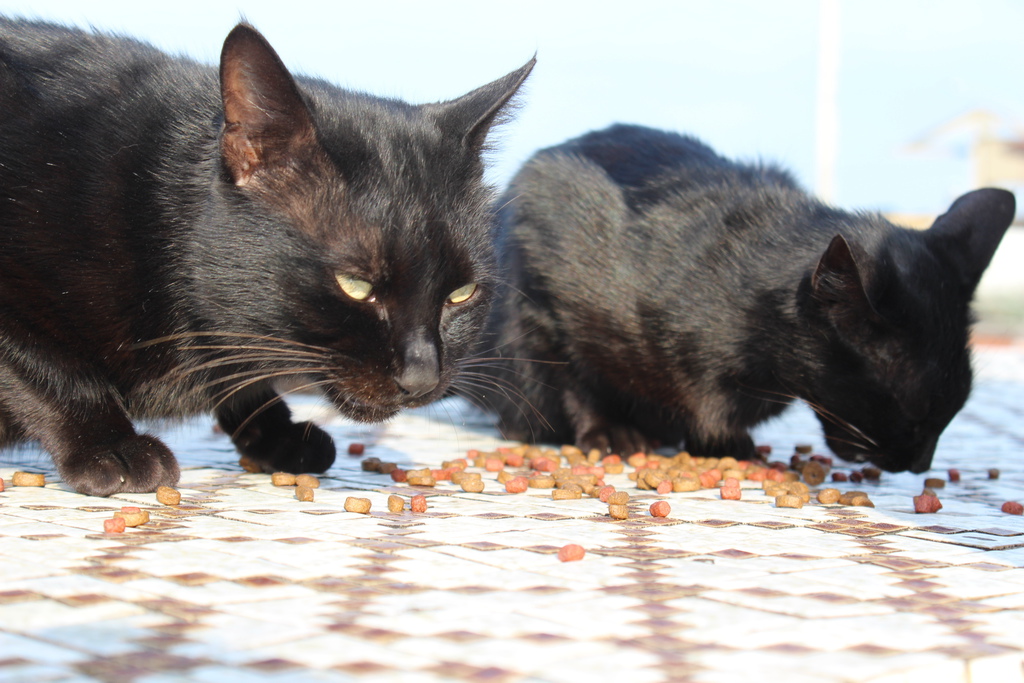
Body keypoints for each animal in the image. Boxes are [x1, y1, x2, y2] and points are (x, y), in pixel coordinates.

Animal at [0, 17, 528, 497]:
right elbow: (48, 368)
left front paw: (277, 432)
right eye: (356, 285)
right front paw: (112, 447)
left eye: (461, 294)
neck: (145, 206)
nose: (422, 376)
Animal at [473, 124, 1015, 475]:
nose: (920, 465)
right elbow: (576, 378)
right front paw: (612, 433)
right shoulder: (545, 291)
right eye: (915, 409)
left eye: (958, 406)